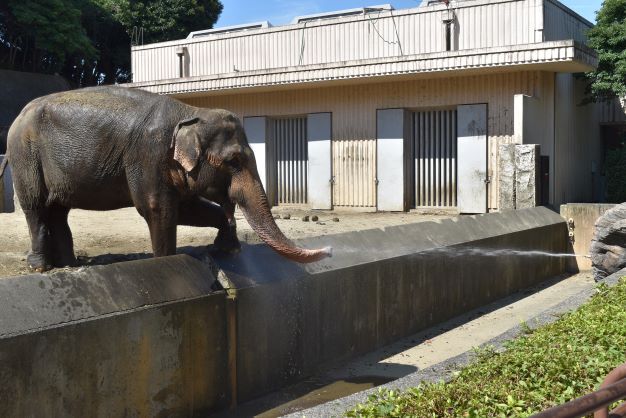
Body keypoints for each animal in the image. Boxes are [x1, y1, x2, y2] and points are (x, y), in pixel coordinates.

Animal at [0, 86, 330, 272]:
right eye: (234, 161)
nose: (328, 250)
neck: (190, 111)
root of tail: (18, 116)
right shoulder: (148, 155)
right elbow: (158, 208)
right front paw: (165, 261)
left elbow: (187, 208)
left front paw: (227, 250)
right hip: (25, 155)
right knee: (35, 207)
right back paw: (41, 267)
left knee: (58, 210)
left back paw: (70, 264)